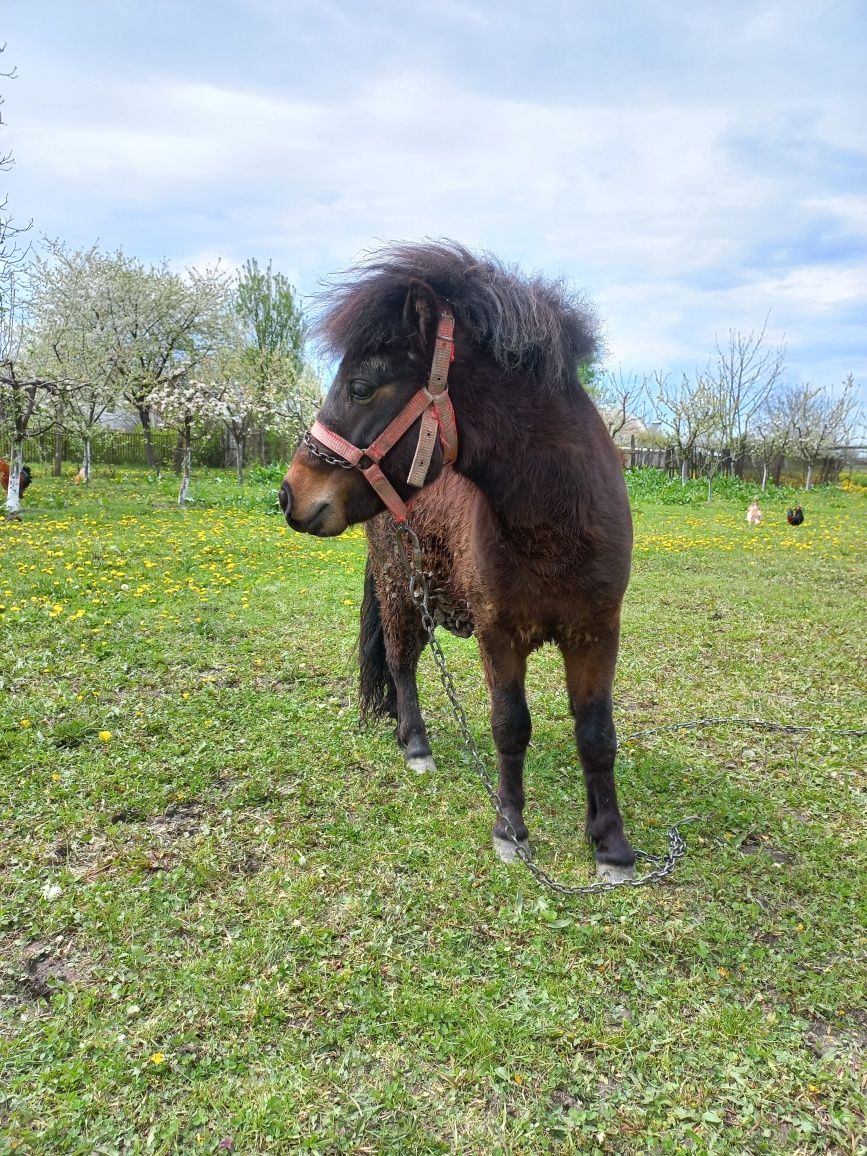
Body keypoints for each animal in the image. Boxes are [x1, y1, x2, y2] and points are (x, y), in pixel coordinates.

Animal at [285, 241, 638, 873]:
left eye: (360, 387)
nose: (289, 493)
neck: (557, 523)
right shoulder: (498, 634)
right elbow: (509, 726)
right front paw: (511, 828)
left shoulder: (597, 633)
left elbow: (597, 733)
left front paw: (610, 844)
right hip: (400, 593)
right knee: (400, 662)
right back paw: (416, 743)